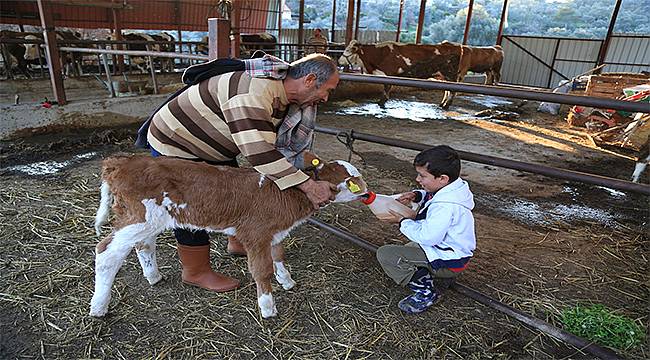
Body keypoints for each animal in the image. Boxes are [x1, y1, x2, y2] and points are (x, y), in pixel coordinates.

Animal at [88, 153, 368, 318]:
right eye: (353, 181)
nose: (368, 193)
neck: (288, 193)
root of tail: (120, 162)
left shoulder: (274, 232)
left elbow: (278, 254)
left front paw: (286, 280)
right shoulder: (255, 233)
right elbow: (261, 270)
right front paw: (268, 307)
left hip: (149, 220)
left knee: (143, 245)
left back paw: (154, 276)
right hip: (138, 217)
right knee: (106, 253)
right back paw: (99, 307)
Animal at [336, 40, 464, 108]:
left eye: (348, 50)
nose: (339, 61)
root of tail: (455, 46)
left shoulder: (389, 74)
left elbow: (386, 88)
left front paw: (382, 102)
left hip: (450, 75)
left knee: (452, 90)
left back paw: (447, 105)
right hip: (443, 76)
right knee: (447, 90)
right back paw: (442, 104)